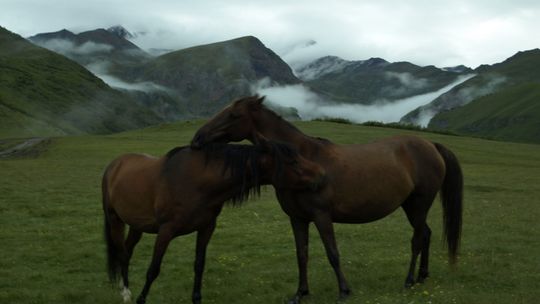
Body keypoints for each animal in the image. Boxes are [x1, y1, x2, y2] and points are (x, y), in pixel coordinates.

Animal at [102, 142, 324, 304]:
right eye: (293, 161)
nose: (321, 175)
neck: (195, 183)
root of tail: (115, 164)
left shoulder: (206, 228)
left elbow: (199, 265)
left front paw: (196, 299)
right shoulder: (166, 230)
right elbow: (153, 269)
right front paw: (141, 299)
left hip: (136, 225)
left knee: (127, 251)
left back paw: (124, 289)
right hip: (114, 219)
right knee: (122, 253)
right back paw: (126, 293)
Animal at [191, 95, 464, 302]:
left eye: (233, 115)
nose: (197, 139)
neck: (304, 159)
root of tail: (431, 145)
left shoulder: (322, 216)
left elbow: (332, 253)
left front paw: (344, 291)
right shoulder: (298, 219)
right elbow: (302, 254)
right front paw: (300, 293)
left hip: (419, 204)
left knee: (417, 239)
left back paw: (408, 281)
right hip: (411, 206)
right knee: (426, 234)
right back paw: (422, 277)